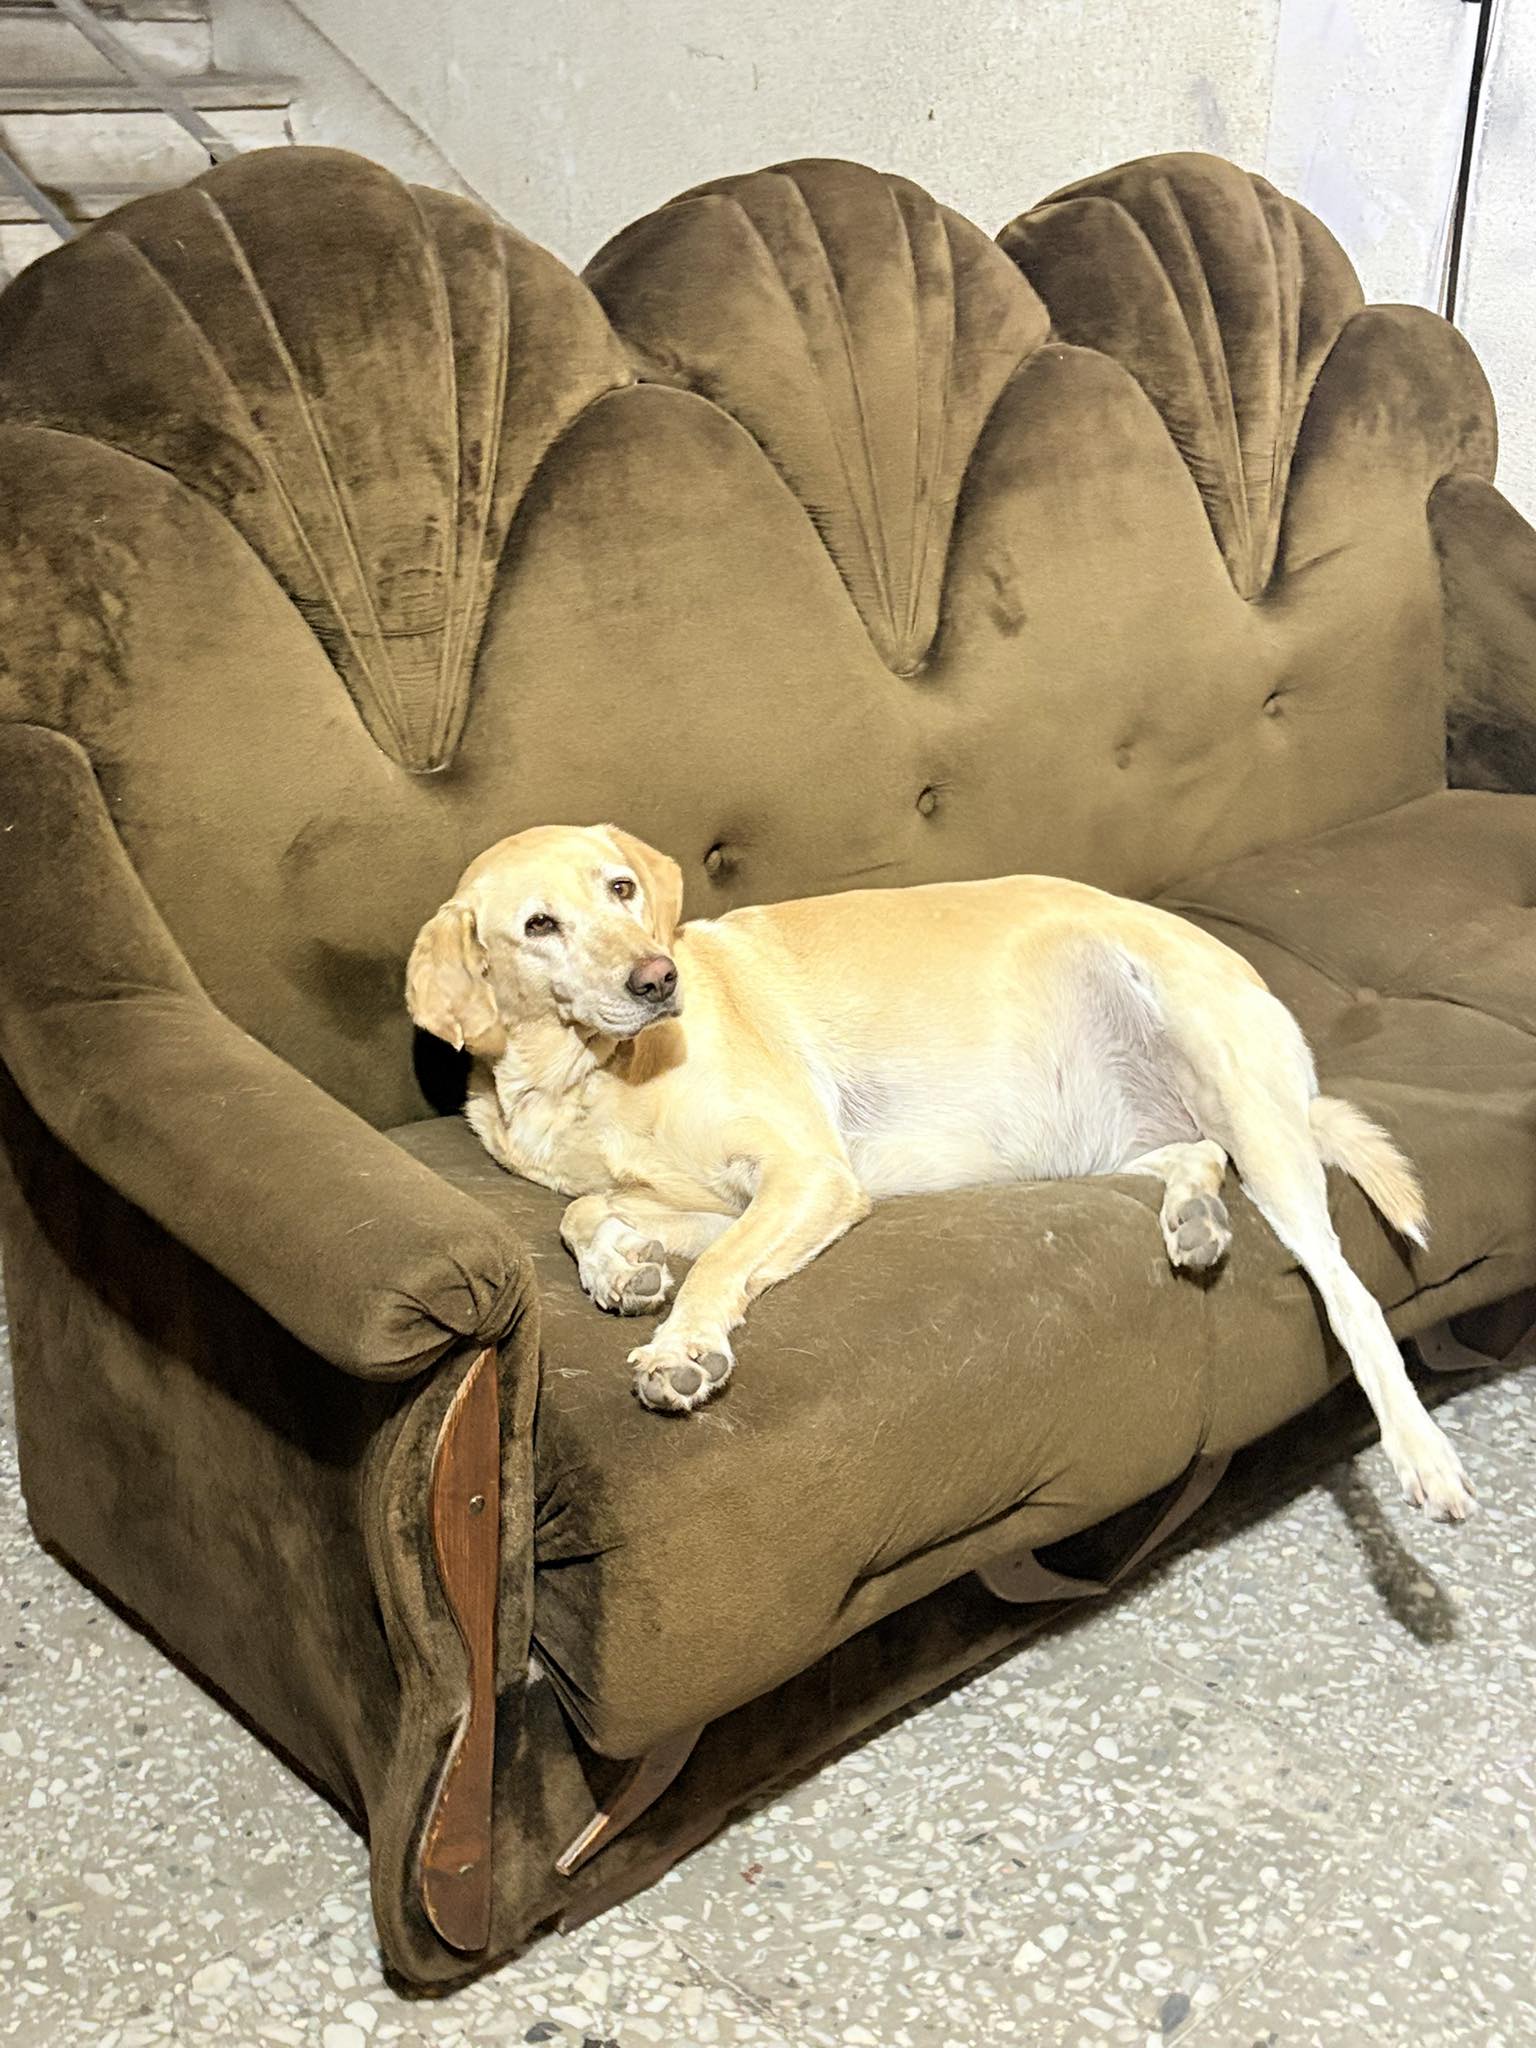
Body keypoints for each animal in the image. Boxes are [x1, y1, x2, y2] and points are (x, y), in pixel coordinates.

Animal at [406, 823, 1472, 1521]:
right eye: (539, 925)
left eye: (622, 890)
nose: (655, 979)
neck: (585, 1075)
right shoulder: (730, 1200)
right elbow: (584, 1214)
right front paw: (621, 1273)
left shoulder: (811, 1176)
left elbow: (708, 1268)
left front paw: (684, 1348)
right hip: (1099, 1138)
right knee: (1194, 1155)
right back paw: (1196, 1219)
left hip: (1245, 1102)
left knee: (1347, 1289)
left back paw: (1421, 1453)